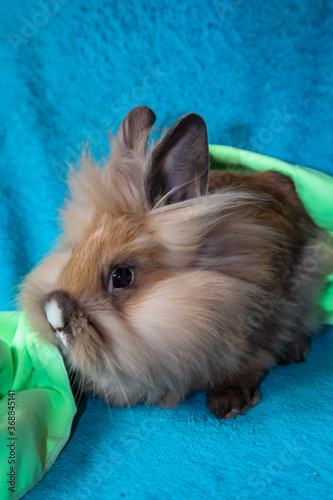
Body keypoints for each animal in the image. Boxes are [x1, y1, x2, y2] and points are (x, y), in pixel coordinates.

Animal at [19, 105, 330, 418]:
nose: (55, 320)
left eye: (121, 276)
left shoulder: (261, 329)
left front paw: (229, 404)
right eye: (74, 252)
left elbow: (250, 364)